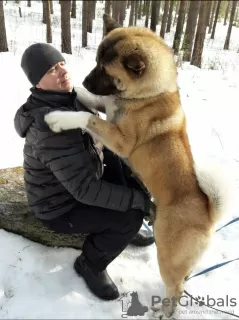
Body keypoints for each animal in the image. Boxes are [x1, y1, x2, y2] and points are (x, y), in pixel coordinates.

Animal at [44, 14, 231, 318]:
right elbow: (93, 100)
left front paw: (58, 118)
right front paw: (75, 91)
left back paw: (164, 312)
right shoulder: (107, 106)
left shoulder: (120, 141)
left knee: (176, 288)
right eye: (96, 61)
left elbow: (87, 116)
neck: (145, 95)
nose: (83, 78)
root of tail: (208, 214)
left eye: (105, 69)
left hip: (167, 255)